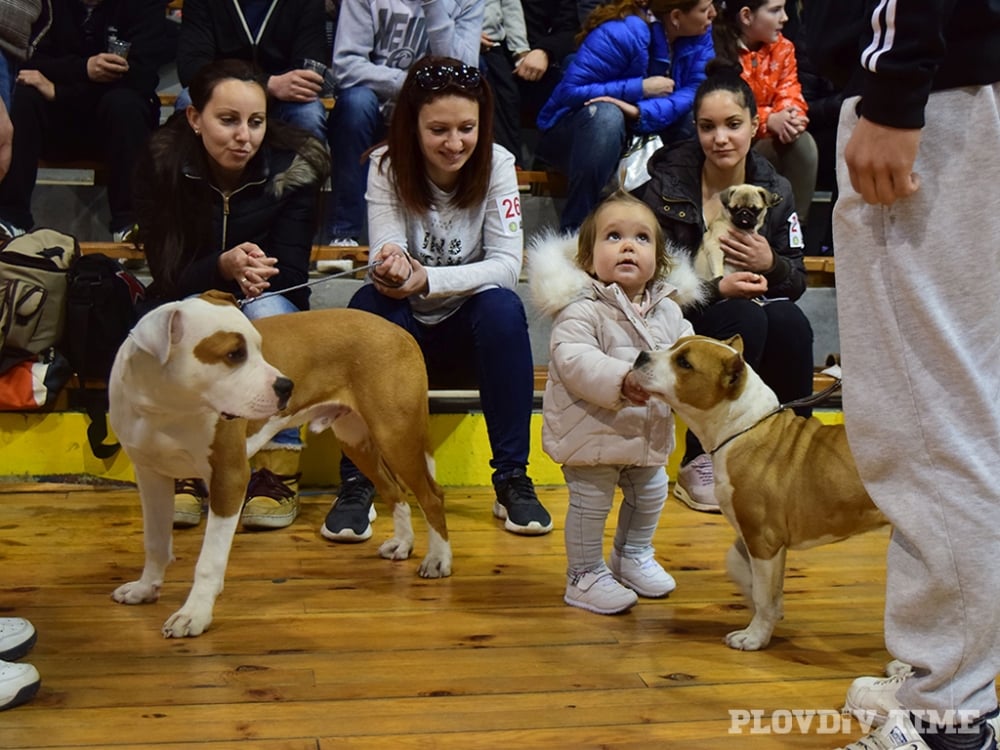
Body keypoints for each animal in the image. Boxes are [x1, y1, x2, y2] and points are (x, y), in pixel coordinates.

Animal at [109, 294, 450, 640]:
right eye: (233, 354)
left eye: (259, 346)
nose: (287, 385)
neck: (166, 407)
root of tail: (397, 331)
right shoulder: (151, 476)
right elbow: (154, 541)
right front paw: (145, 589)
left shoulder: (229, 476)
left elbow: (209, 560)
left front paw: (194, 614)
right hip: (357, 441)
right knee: (394, 489)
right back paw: (403, 543)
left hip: (395, 433)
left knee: (432, 495)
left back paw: (437, 560)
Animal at [628, 336, 888, 652]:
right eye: (676, 345)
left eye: (685, 363)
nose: (641, 356)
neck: (741, 428)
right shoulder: (754, 534)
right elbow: (742, 567)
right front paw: (771, 608)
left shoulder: (764, 538)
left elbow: (764, 595)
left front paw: (754, 636)